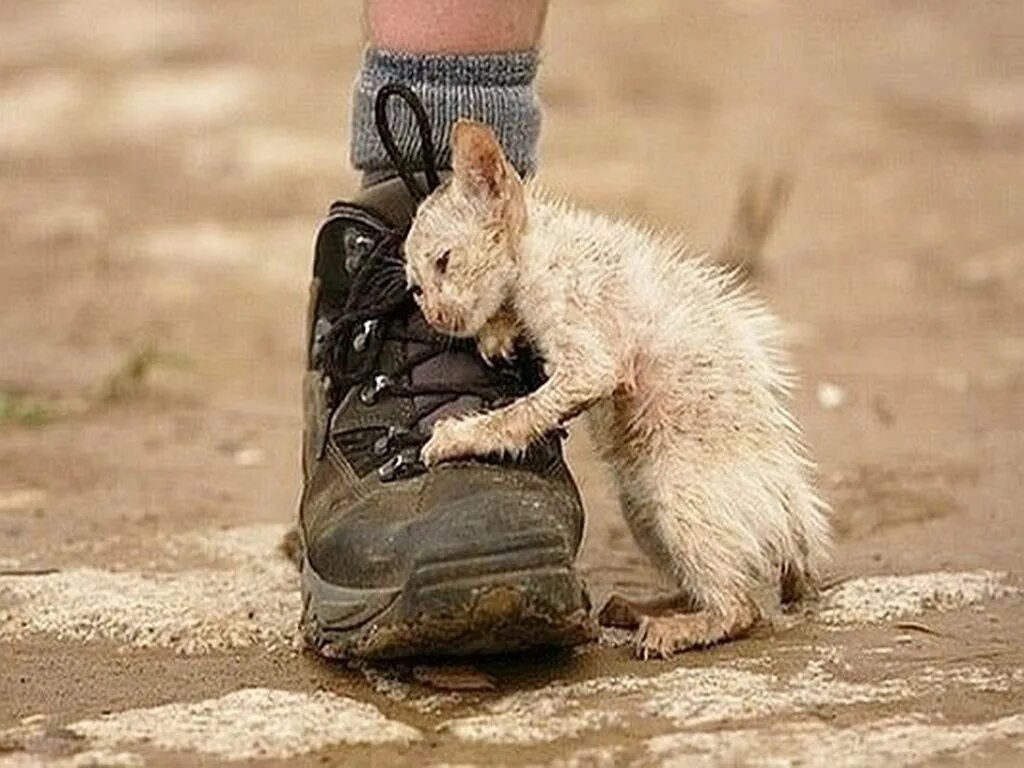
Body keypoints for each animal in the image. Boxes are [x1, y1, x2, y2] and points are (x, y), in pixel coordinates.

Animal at [403, 120, 827, 663]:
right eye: (415, 289)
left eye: (445, 261)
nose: (436, 317)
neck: (540, 247)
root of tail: (795, 518)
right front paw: (497, 332)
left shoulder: (589, 356)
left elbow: (522, 413)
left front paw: (458, 437)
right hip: (641, 507)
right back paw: (640, 608)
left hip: (678, 495)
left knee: (741, 607)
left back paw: (675, 629)